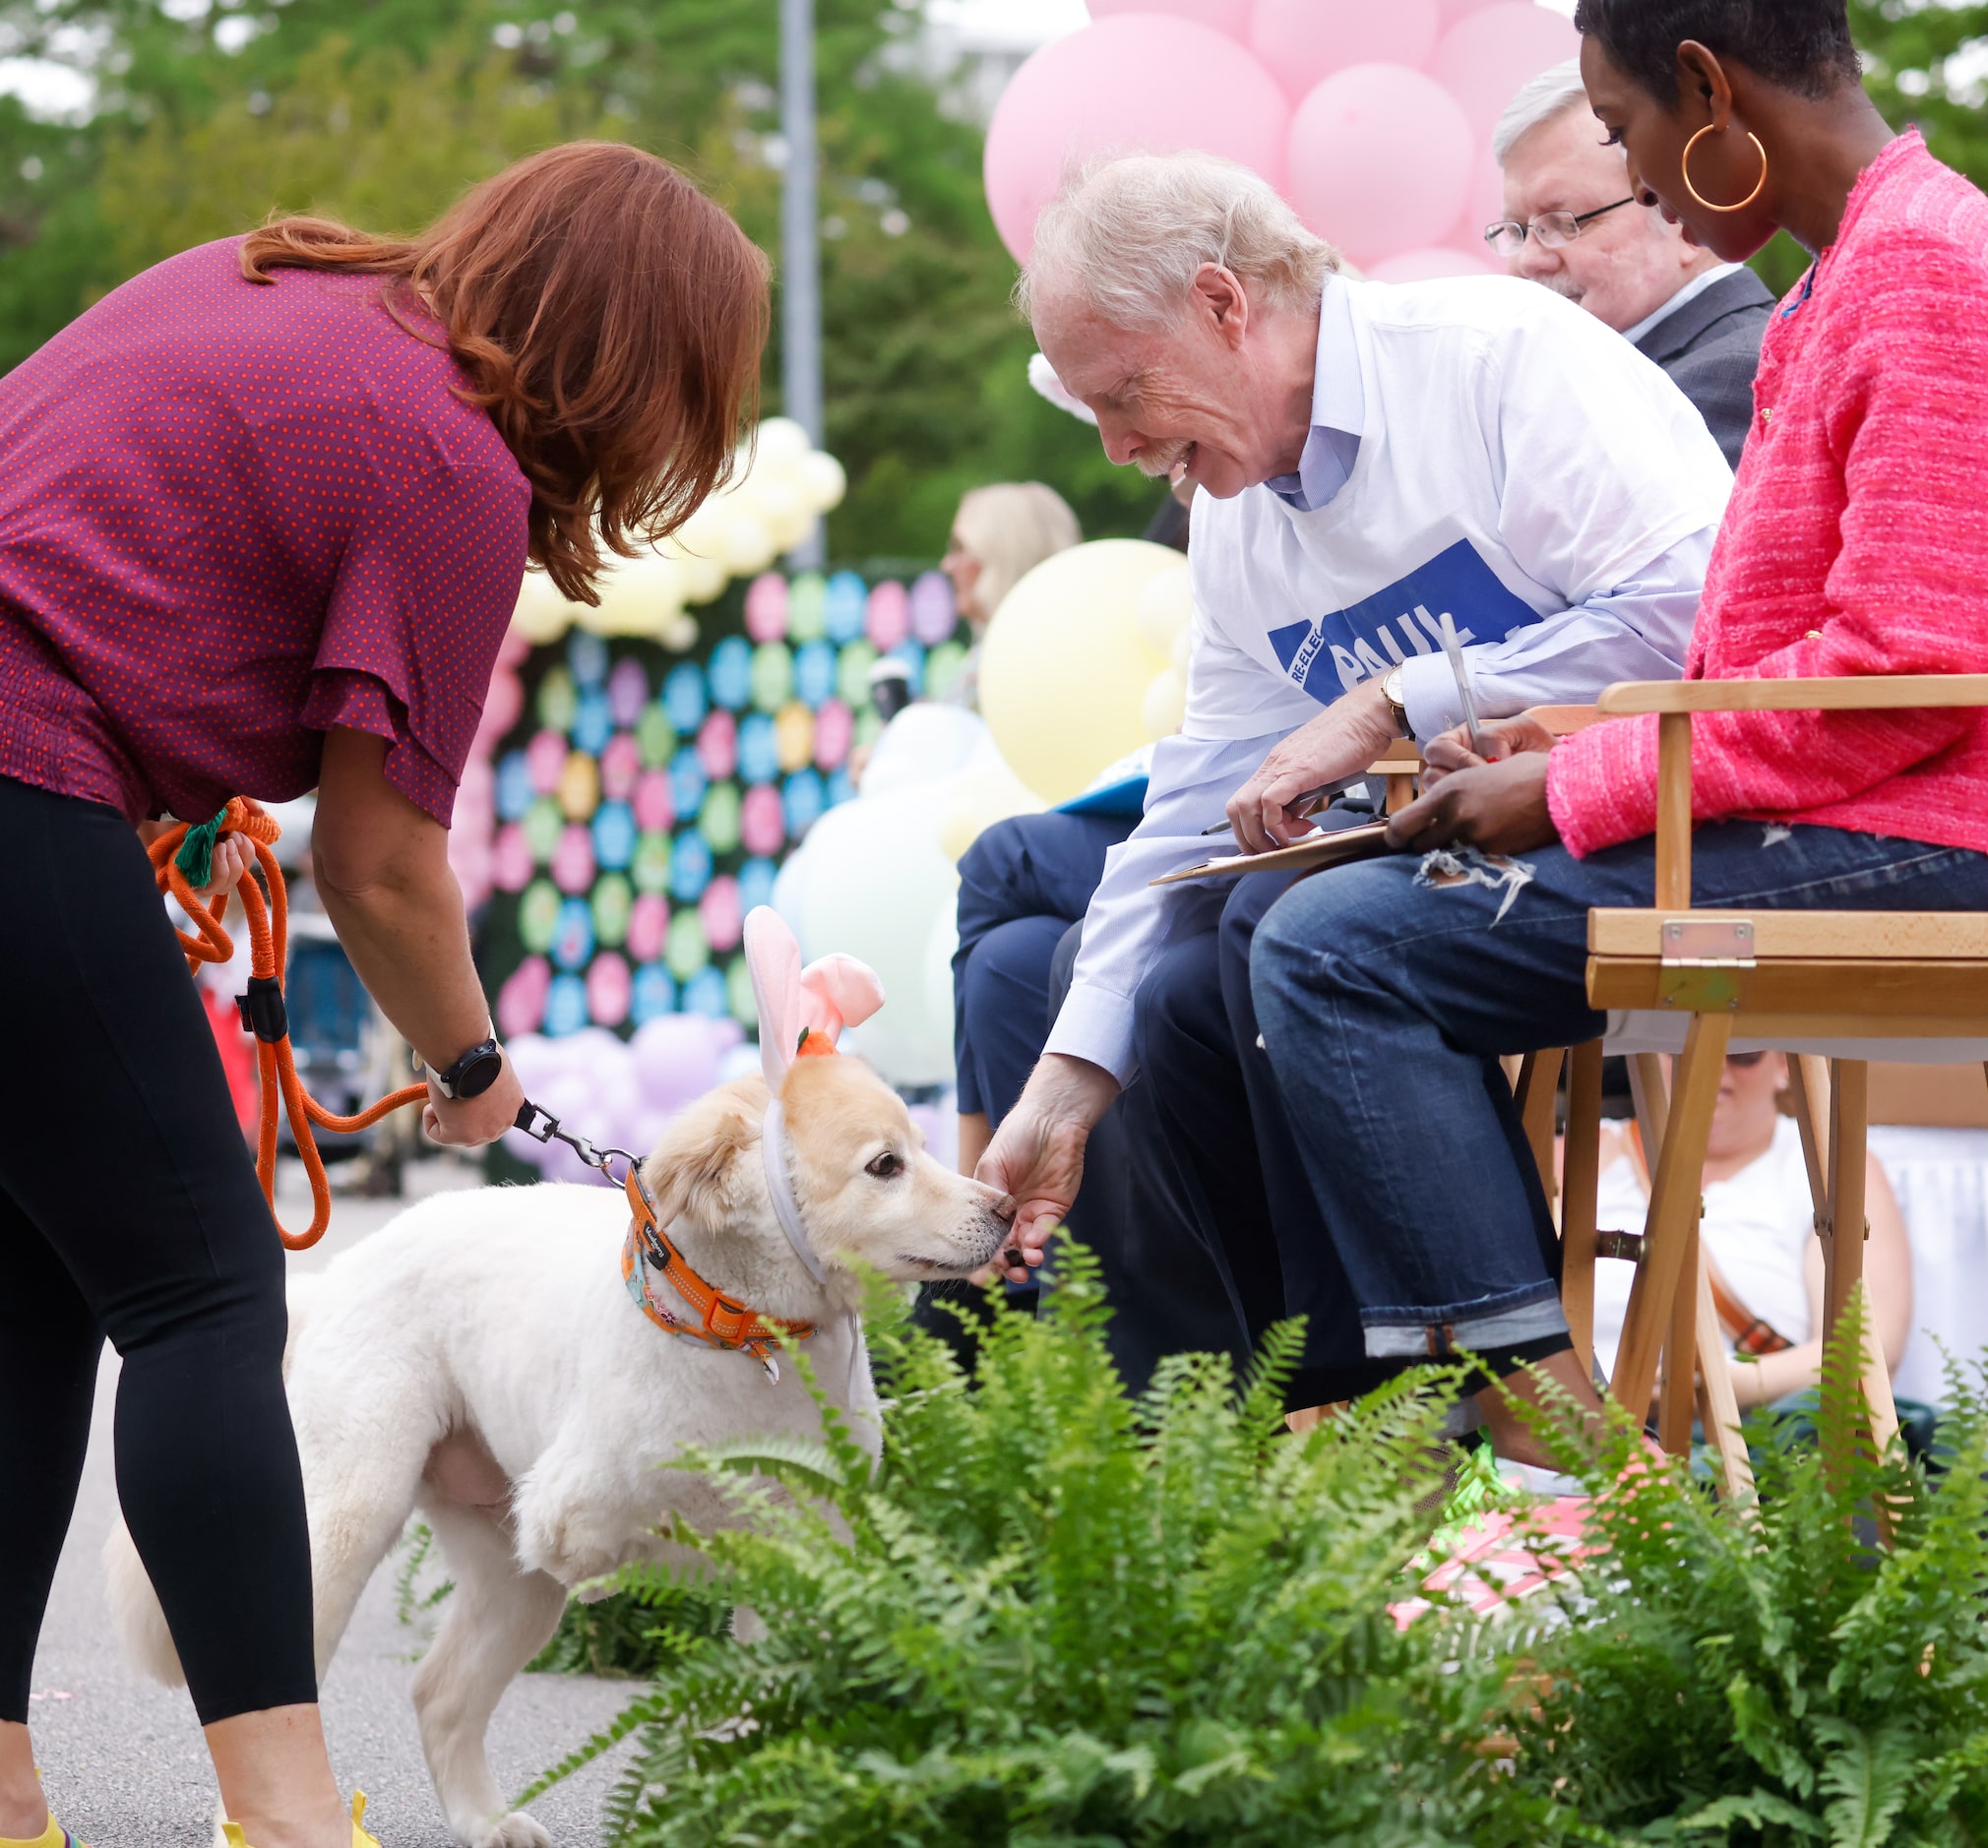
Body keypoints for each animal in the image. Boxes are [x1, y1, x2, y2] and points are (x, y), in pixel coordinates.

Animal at [102, 921, 1018, 1848]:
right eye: (885, 1165)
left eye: (923, 1148)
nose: (1006, 1207)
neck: (748, 1340)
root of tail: (335, 1276)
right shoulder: (570, 1513)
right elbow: (674, 1533)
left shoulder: (814, 1551)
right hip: (353, 1521)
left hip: (507, 1579)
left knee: (438, 1693)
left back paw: (484, 1821)